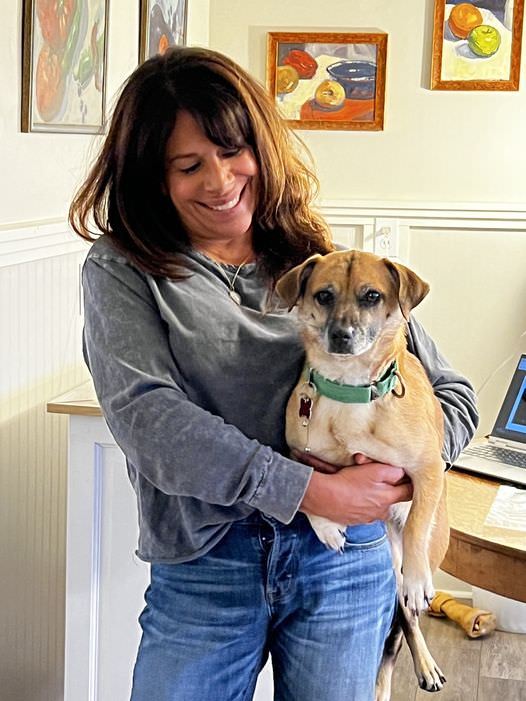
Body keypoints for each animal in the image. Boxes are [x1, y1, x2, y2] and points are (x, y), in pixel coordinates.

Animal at [278, 252, 452, 700]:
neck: (351, 390)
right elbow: (306, 481)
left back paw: (425, 662)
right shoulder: (294, 451)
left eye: (372, 296)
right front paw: (326, 528)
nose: (341, 336)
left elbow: (417, 524)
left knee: (408, 615)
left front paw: (418, 579)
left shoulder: (427, 469)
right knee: (395, 631)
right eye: (323, 295)